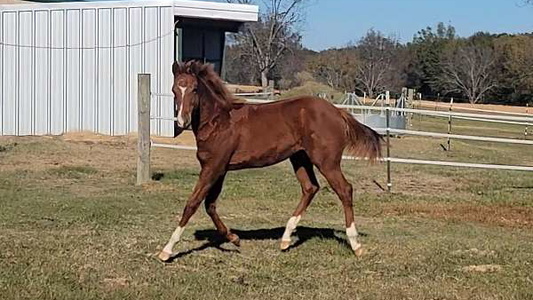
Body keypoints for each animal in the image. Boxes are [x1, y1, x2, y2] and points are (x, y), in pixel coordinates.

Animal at [156, 59, 380, 262]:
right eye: (175, 89)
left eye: (194, 89)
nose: (182, 121)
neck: (218, 122)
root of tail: (339, 112)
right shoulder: (219, 169)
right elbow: (210, 205)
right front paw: (234, 238)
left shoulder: (213, 167)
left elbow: (193, 203)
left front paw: (167, 250)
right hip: (299, 158)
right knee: (310, 188)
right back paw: (285, 239)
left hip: (327, 161)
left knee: (344, 190)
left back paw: (356, 245)